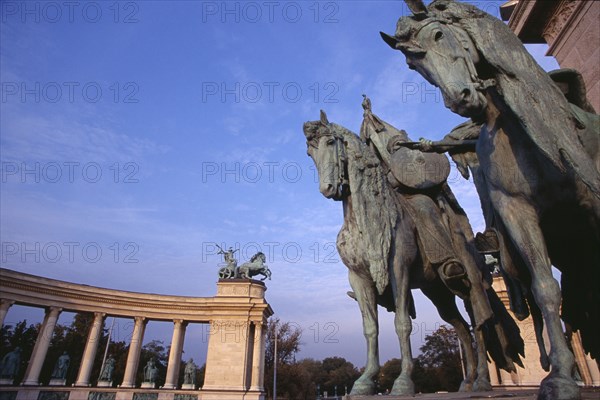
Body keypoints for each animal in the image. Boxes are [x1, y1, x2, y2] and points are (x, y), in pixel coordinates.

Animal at [382, 1, 596, 398]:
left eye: (439, 34)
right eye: (412, 64)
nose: (462, 99)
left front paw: (561, 374)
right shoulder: (516, 213)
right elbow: (544, 288)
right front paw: (559, 374)